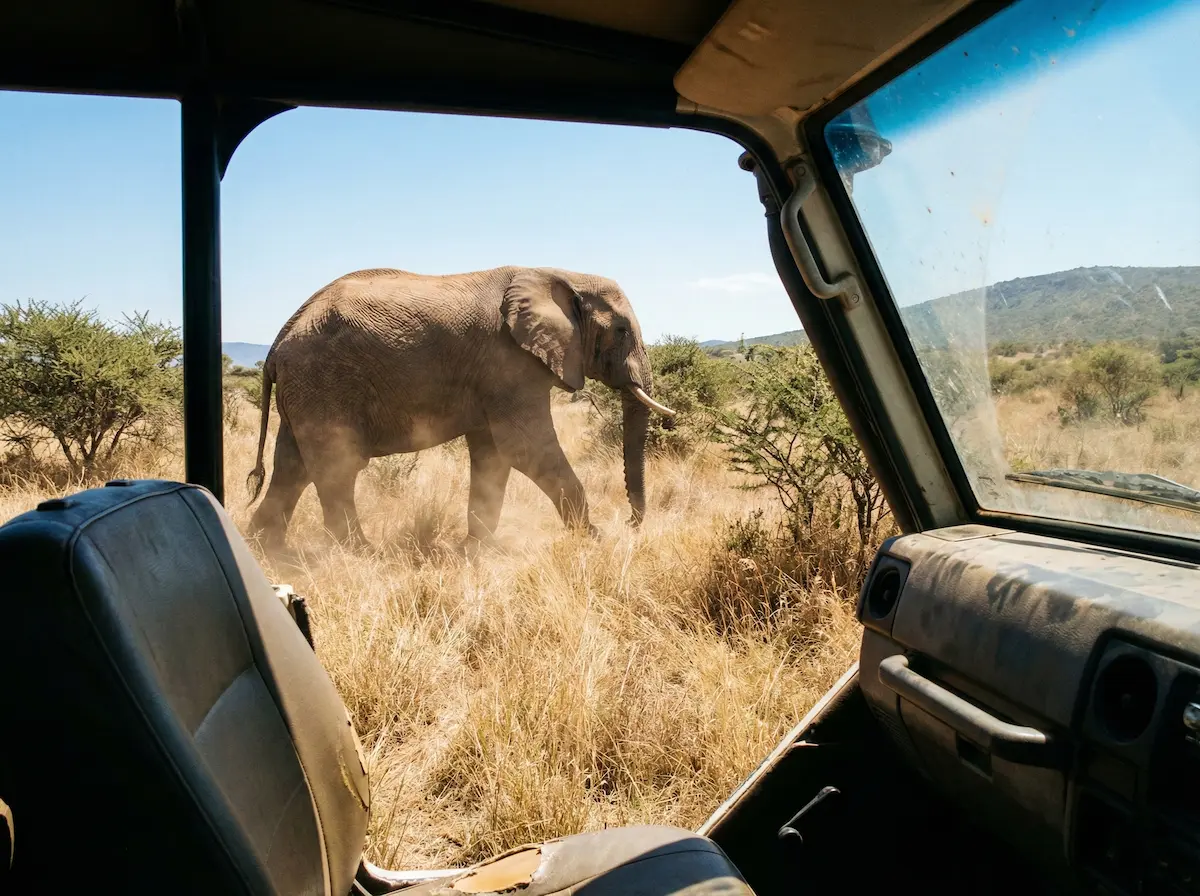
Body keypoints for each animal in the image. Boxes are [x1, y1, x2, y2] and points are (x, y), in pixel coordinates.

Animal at [245, 265, 677, 552]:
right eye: (621, 330)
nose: (629, 523)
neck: (560, 273)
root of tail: (279, 340)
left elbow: (493, 454)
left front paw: (476, 551)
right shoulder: (509, 361)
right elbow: (524, 446)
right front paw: (595, 542)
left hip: (306, 390)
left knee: (291, 467)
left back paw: (267, 553)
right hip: (323, 382)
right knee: (337, 466)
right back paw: (362, 554)